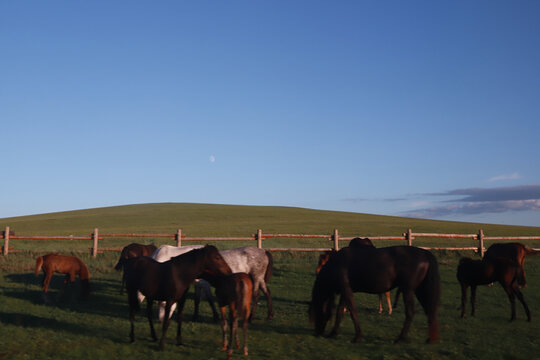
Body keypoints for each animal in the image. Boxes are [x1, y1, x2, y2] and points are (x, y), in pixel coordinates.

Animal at [310, 245, 440, 344]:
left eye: (316, 312)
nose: (317, 333)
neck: (336, 264)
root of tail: (424, 253)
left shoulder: (346, 290)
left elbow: (352, 312)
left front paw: (358, 337)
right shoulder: (344, 291)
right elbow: (340, 312)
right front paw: (333, 333)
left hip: (408, 290)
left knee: (410, 313)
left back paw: (401, 339)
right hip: (419, 291)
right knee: (430, 311)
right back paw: (430, 339)